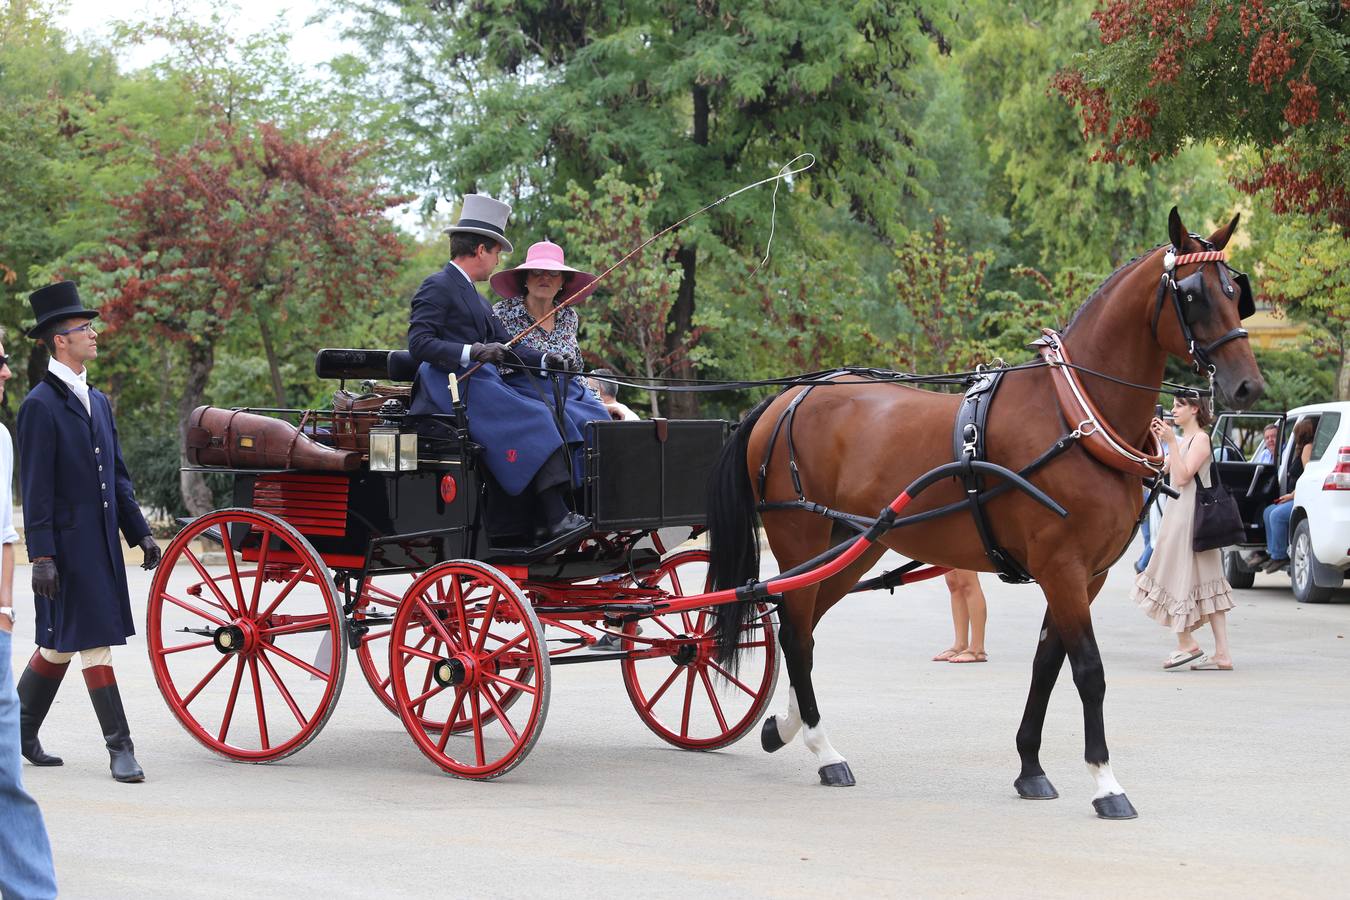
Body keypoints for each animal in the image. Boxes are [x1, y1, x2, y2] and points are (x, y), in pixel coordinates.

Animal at [707, 207, 1263, 820]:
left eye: (1235, 291)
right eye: (1191, 294)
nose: (1248, 385)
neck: (1076, 418)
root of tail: (787, 398)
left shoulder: (1085, 576)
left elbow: (1048, 666)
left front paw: (1030, 767)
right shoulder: (1062, 568)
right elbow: (1088, 671)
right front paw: (1105, 782)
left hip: (852, 548)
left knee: (797, 626)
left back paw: (786, 727)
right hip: (800, 535)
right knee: (796, 630)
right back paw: (823, 748)